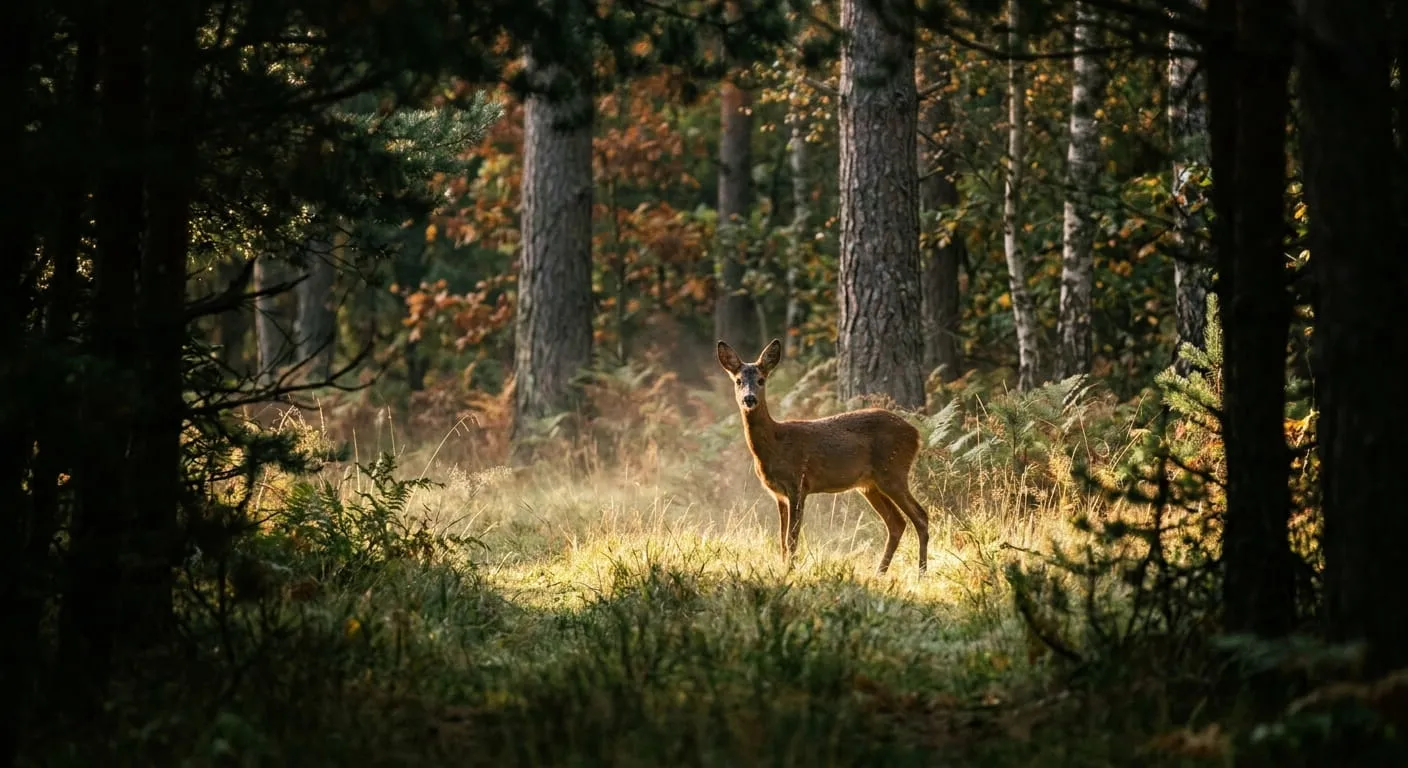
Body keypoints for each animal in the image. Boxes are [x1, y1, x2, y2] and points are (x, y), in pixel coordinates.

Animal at [716, 338, 930, 575]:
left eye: (761, 380)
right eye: (738, 381)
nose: (749, 398)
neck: (775, 444)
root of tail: (916, 434)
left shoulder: (798, 485)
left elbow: (792, 539)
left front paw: (789, 572)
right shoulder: (778, 494)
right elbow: (781, 540)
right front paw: (783, 569)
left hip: (893, 471)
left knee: (921, 516)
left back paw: (921, 573)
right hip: (870, 484)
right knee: (897, 522)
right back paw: (880, 573)